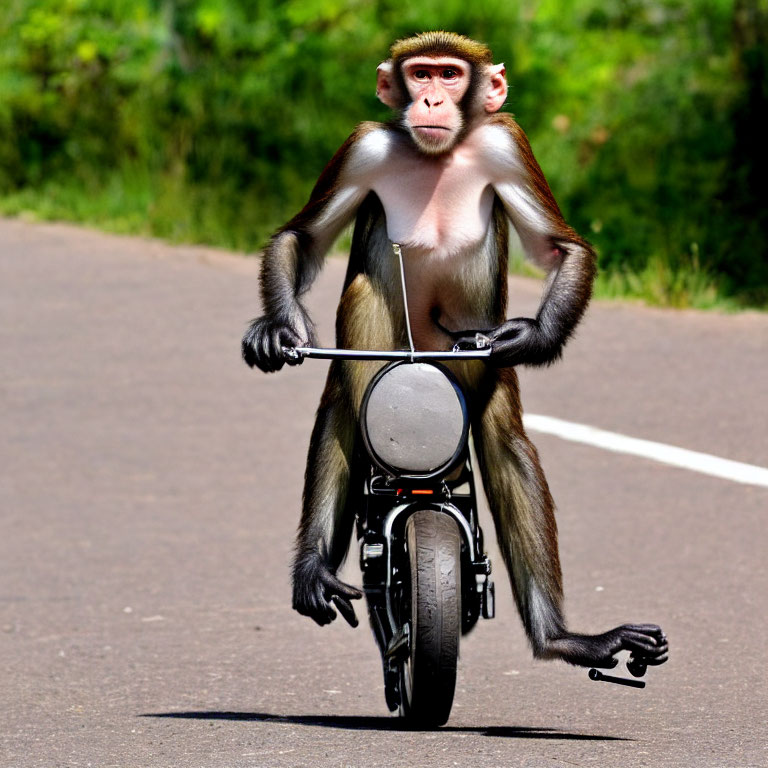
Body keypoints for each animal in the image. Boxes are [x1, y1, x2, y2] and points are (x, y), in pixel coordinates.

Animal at [244, 28, 664, 664]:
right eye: (420, 73)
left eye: (449, 74)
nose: (432, 100)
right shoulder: (364, 146)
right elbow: (303, 236)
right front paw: (280, 329)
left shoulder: (505, 141)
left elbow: (562, 248)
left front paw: (534, 335)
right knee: (346, 388)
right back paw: (315, 568)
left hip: (474, 370)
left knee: (505, 441)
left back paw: (561, 639)